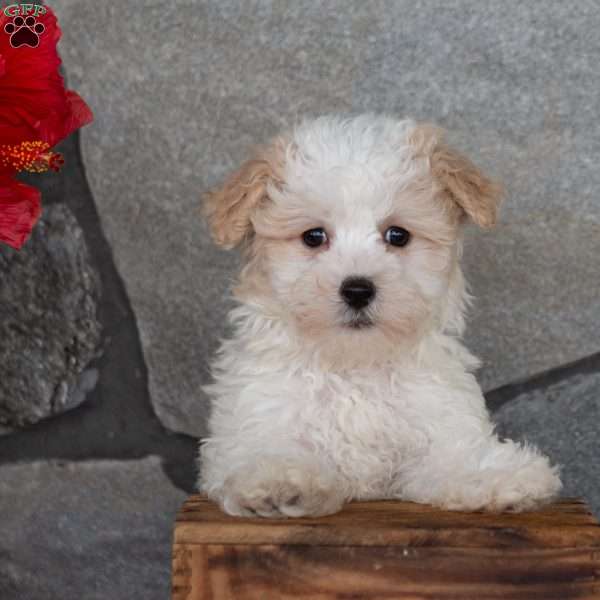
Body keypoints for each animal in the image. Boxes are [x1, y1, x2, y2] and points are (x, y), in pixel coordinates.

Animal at [199, 115, 560, 516]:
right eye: (314, 236)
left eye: (397, 235)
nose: (358, 290)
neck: (355, 365)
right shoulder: (254, 422)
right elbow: (265, 450)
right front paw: (281, 480)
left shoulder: (438, 421)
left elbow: (455, 459)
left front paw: (501, 477)